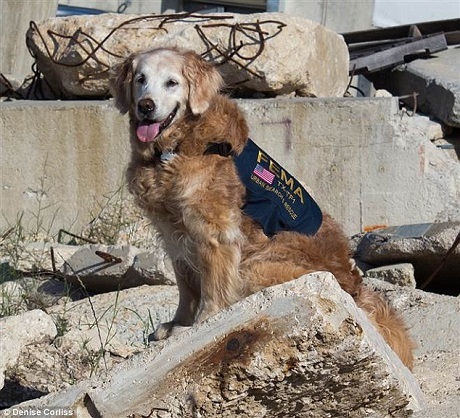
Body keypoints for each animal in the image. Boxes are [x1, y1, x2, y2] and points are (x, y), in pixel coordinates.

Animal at [109, 46, 416, 370]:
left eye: (171, 83)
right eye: (140, 79)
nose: (145, 106)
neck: (177, 146)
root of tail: (355, 290)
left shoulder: (214, 233)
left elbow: (212, 288)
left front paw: (198, 325)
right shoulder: (173, 234)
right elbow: (186, 288)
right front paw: (176, 324)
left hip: (256, 266)